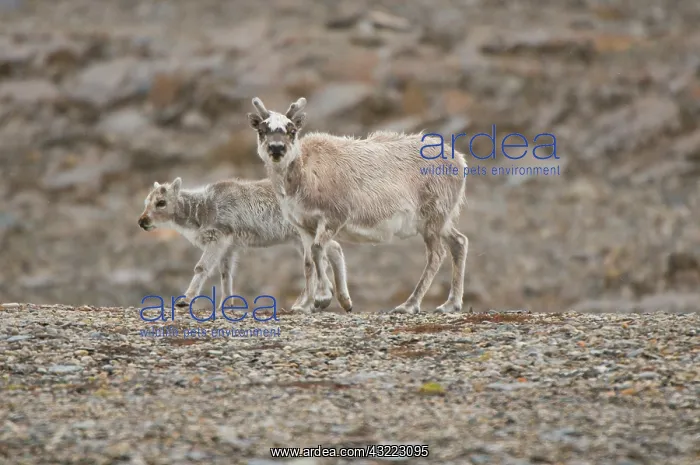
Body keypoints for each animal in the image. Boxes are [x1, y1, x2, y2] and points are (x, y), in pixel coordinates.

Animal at [137, 177, 353, 313]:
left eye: (161, 202)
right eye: (146, 201)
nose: (142, 221)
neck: (202, 210)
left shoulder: (218, 239)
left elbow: (201, 268)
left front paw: (185, 300)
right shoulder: (228, 248)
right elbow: (225, 275)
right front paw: (225, 305)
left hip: (302, 238)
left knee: (316, 262)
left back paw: (307, 304)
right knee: (333, 251)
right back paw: (342, 301)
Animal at [246, 96, 469, 314]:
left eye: (291, 130)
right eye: (262, 130)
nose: (276, 148)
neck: (304, 173)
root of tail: (460, 160)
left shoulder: (333, 217)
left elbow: (318, 250)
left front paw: (323, 298)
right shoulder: (303, 225)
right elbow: (308, 262)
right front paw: (306, 305)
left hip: (432, 219)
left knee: (436, 255)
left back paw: (409, 305)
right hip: (441, 221)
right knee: (459, 242)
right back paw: (451, 304)